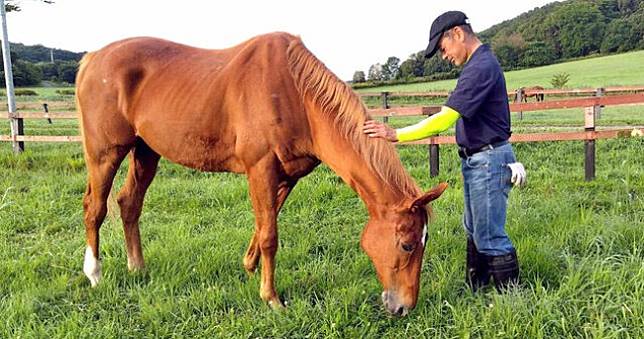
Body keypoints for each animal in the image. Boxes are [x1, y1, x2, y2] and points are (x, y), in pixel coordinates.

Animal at [75, 31, 448, 316]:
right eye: (407, 244)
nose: (403, 307)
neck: (295, 94)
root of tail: (92, 58)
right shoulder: (260, 168)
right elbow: (270, 234)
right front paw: (272, 298)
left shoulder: (286, 175)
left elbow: (264, 223)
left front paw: (249, 265)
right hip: (104, 153)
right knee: (95, 207)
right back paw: (94, 274)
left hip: (146, 151)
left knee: (129, 203)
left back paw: (137, 267)